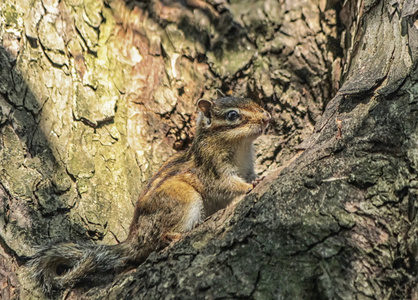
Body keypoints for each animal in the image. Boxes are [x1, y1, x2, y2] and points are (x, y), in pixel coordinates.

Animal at [28, 96, 272, 292]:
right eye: (233, 115)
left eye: (251, 100)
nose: (267, 117)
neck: (239, 147)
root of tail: (136, 236)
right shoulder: (213, 171)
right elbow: (225, 185)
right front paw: (250, 186)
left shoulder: (246, 167)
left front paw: (259, 177)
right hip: (184, 197)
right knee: (163, 237)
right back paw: (183, 233)